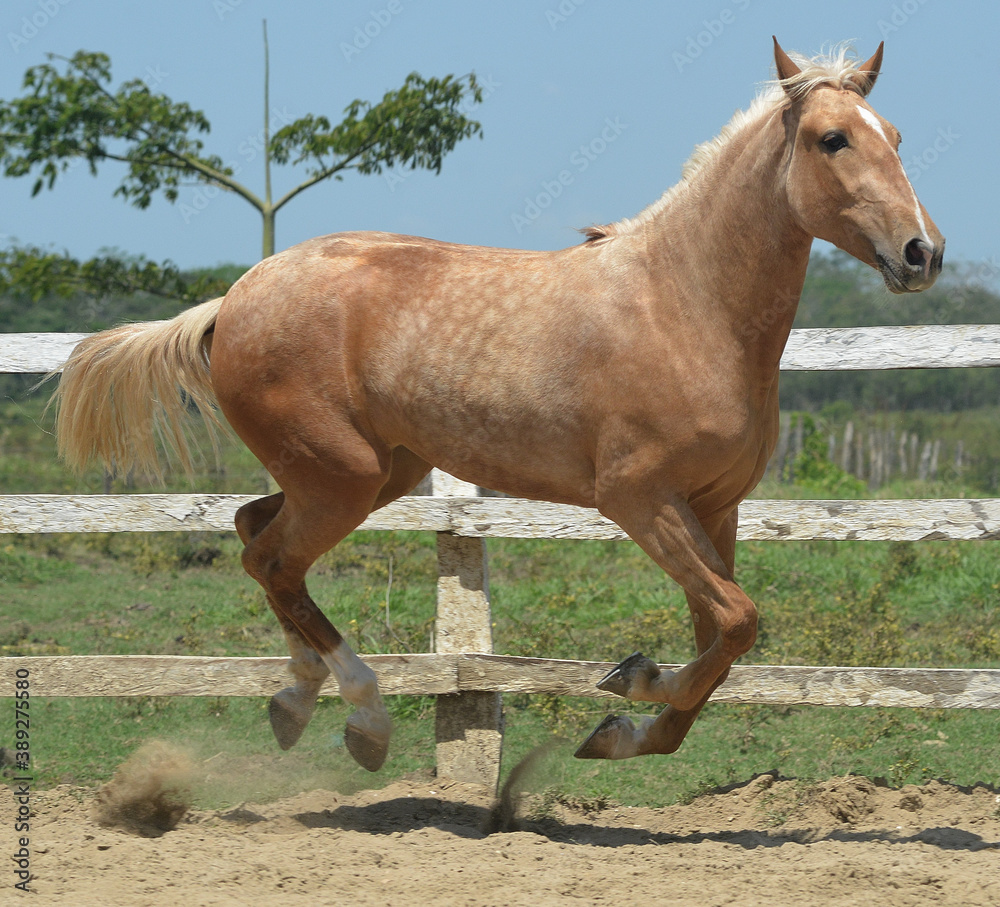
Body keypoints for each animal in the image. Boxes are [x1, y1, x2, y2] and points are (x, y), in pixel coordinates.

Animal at [52, 39, 943, 772]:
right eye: (832, 139)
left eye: (896, 136)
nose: (922, 253)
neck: (687, 305)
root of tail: (232, 300)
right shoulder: (639, 497)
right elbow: (736, 621)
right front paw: (629, 685)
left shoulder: (716, 506)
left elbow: (720, 638)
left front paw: (627, 719)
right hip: (343, 476)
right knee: (271, 557)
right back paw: (365, 719)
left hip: (373, 472)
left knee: (254, 535)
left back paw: (296, 700)